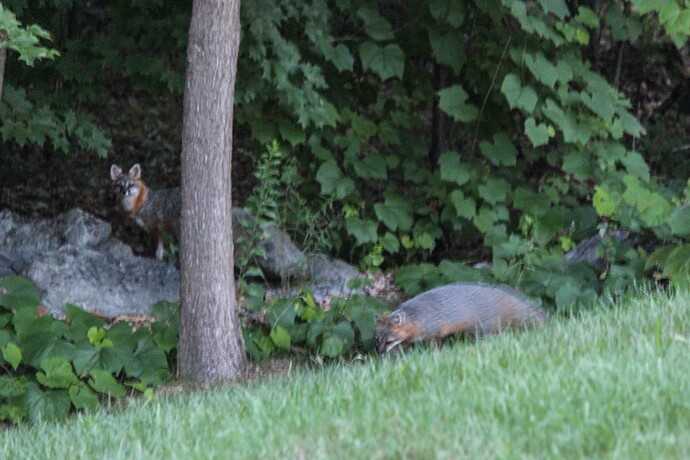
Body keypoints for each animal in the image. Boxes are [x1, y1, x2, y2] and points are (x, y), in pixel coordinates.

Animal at [376, 283, 547, 354]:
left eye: (388, 341)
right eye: (378, 340)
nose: (379, 353)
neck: (417, 316)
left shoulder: (435, 334)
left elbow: (436, 348)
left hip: (482, 331)